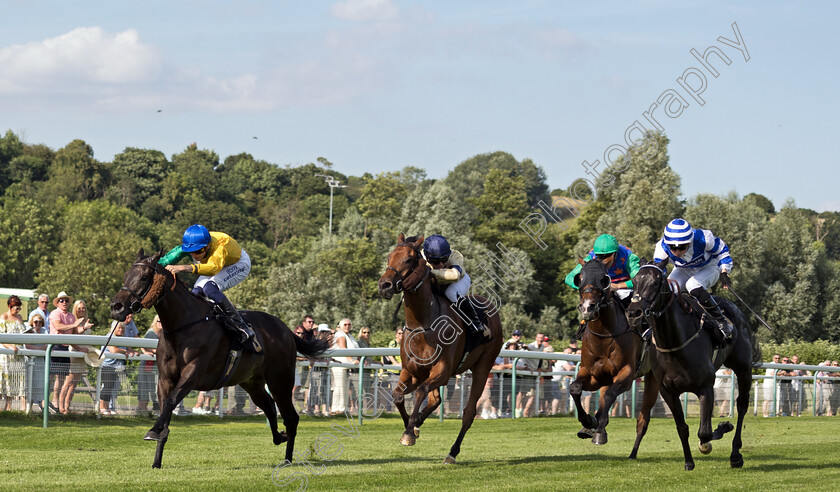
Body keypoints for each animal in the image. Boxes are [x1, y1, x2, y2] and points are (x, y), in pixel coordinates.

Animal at [113, 250, 330, 468]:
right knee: (268, 405)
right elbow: (166, 408)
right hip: (252, 382)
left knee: (290, 416)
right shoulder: (165, 378)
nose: (117, 306)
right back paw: (280, 437)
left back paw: (287, 459)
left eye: (143, 277)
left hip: (280, 380)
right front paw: (156, 459)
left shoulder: (193, 373)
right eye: (125, 275)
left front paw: (152, 431)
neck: (182, 325)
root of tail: (285, 328)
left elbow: (171, 401)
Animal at [378, 234, 502, 466]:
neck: (422, 324)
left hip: (484, 367)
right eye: (389, 256)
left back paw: (452, 453)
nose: (384, 285)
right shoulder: (411, 371)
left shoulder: (442, 371)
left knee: (468, 413)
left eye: (409, 259)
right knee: (436, 399)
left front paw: (409, 432)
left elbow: (420, 392)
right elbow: (398, 395)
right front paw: (411, 427)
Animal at [572, 258, 644, 446]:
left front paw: (600, 430)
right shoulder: (592, 374)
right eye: (579, 278)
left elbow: (611, 394)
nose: (588, 308)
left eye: (604, 279)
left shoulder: (627, 373)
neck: (604, 336)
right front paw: (588, 421)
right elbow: (575, 388)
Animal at [628, 258, 756, 468]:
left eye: (655, 282)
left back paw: (736, 454)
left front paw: (721, 429)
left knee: (742, 404)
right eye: (635, 281)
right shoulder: (668, 391)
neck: (674, 345)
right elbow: (683, 428)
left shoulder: (705, 387)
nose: (633, 312)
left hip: (743, 367)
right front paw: (689, 462)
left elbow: (704, 432)